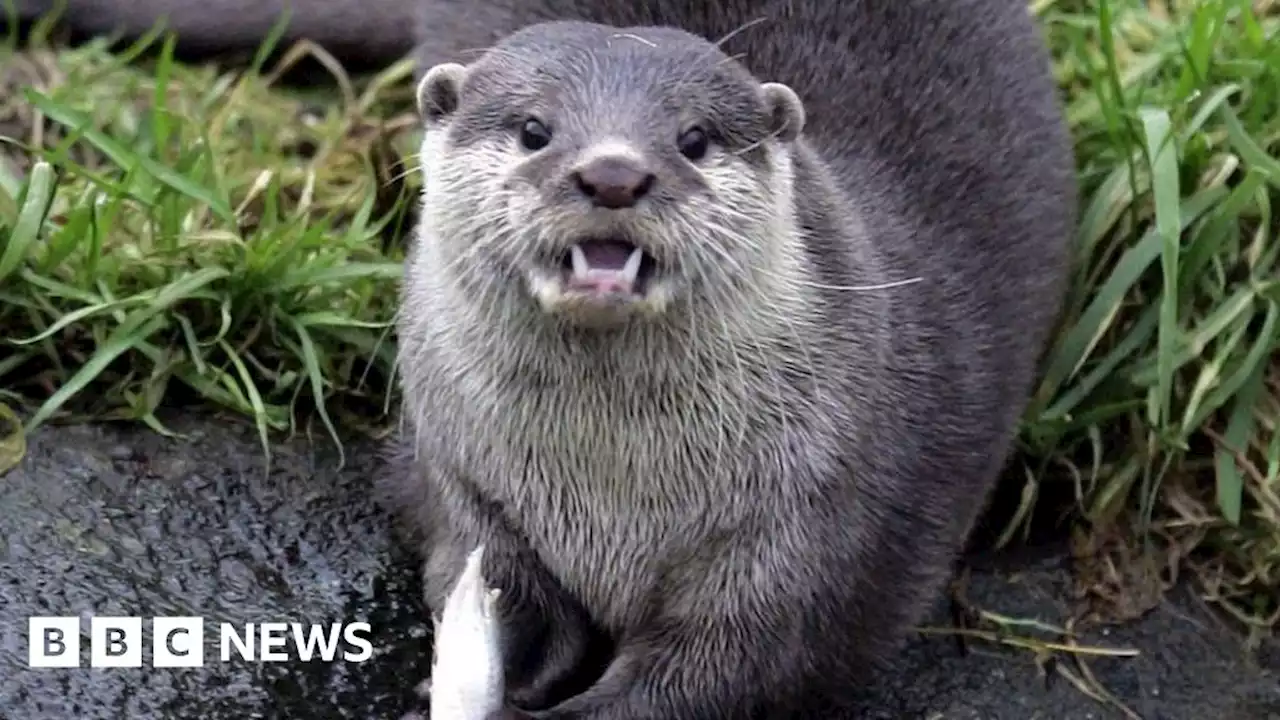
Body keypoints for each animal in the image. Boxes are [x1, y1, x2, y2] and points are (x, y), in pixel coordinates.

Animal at [10, 2, 1075, 712]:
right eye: (534, 128)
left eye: (694, 137)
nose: (613, 172)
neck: (614, 493)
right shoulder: (466, 476)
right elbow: (480, 584)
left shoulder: (815, 526)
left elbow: (727, 668)